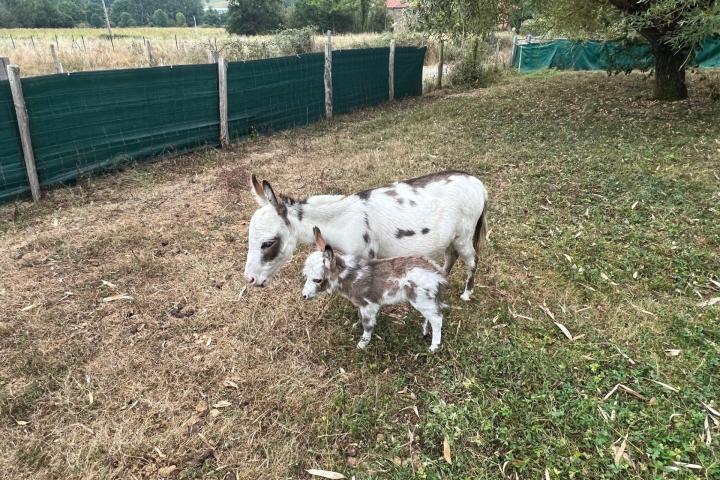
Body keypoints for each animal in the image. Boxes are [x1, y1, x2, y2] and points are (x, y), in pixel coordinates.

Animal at [302, 227, 448, 350]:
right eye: (306, 276)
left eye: (317, 280)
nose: (304, 296)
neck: (351, 276)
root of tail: (436, 273)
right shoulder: (364, 305)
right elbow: (361, 317)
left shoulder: (368, 305)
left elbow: (367, 325)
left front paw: (362, 344)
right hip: (426, 301)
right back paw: (424, 331)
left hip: (421, 299)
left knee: (437, 319)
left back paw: (433, 347)